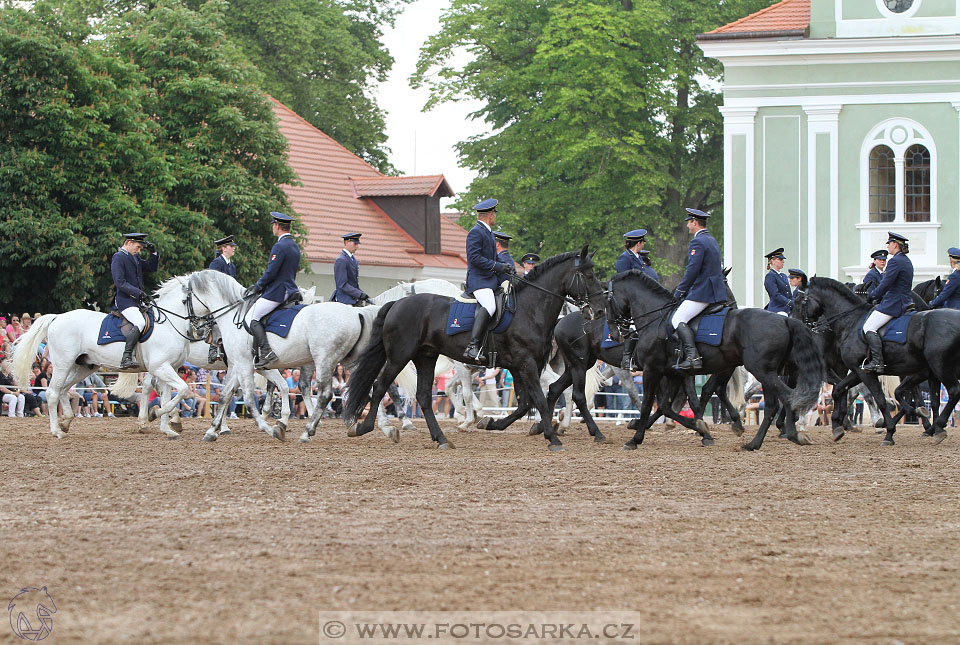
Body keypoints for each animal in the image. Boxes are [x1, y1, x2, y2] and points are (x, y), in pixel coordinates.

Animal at [11, 276, 199, 438]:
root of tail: (57, 317)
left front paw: (166, 428)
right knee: (52, 392)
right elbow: (182, 389)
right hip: (63, 365)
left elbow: (170, 395)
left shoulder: (169, 367)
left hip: (82, 366)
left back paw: (65, 422)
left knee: (63, 389)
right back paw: (57, 431)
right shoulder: (160, 367)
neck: (170, 325)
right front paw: (155, 415)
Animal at [342, 249, 604, 450]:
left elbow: (524, 403)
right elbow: (534, 399)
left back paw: (441, 438)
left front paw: (489, 422)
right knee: (380, 386)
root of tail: (398, 303)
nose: (600, 310)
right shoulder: (524, 364)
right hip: (399, 356)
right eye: (589, 275)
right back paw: (367, 427)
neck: (529, 310)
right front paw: (551, 437)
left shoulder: (520, 366)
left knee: (423, 396)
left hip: (425, 357)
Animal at [612, 270, 820, 450]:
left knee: (785, 397)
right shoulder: (674, 373)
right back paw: (755, 441)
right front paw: (700, 427)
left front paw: (635, 439)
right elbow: (667, 405)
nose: (617, 331)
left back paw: (788, 434)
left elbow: (650, 403)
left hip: (761, 371)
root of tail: (784, 320)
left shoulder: (653, 370)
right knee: (770, 405)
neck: (657, 319)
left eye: (608, 298)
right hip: (765, 372)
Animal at [796, 274, 960, 446]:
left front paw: (890, 432)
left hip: (940, 367)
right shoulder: (859, 370)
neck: (852, 322)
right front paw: (837, 427)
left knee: (954, 391)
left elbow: (882, 399)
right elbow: (840, 389)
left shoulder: (865, 372)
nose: (799, 324)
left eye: (799, 300)